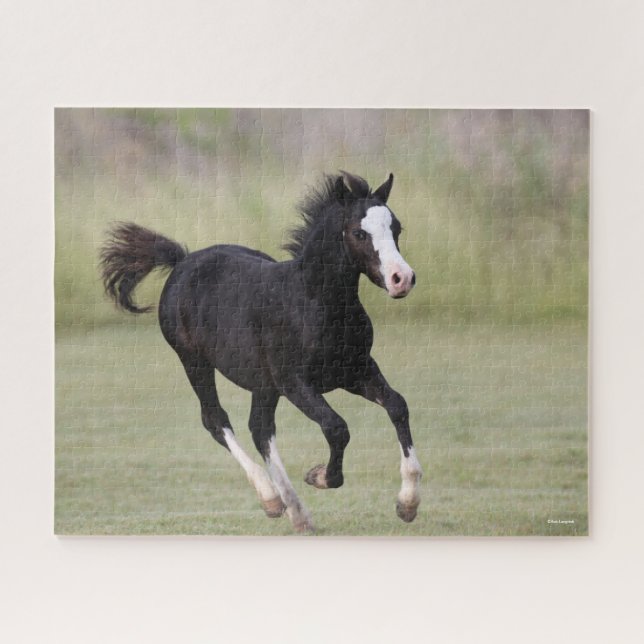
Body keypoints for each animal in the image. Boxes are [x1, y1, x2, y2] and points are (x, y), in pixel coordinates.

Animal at [100, 171, 422, 533]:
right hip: (194, 361)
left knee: (260, 429)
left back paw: (297, 512)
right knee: (217, 420)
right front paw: (319, 476)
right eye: (359, 233)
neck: (314, 302)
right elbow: (336, 427)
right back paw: (272, 499)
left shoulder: (356, 370)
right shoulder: (294, 382)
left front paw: (407, 504)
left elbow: (397, 405)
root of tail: (182, 260)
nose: (401, 279)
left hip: (262, 383)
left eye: (396, 228)